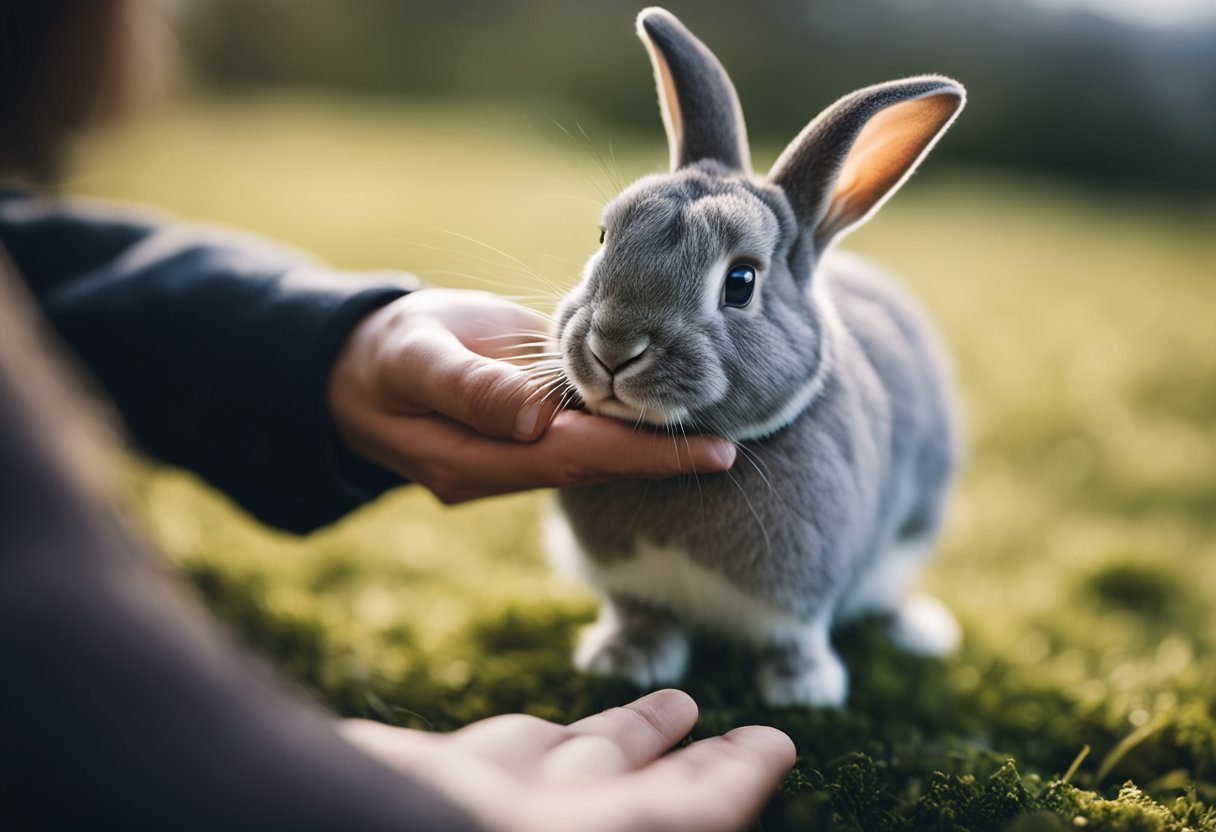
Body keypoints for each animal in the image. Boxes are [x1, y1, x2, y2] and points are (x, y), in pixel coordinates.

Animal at [547, 8, 963, 710]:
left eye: (740, 282)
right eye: (604, 238)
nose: (612, 350)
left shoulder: (802, 602)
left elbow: (798, 637)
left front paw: (803, 692)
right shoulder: (633, 587)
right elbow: (640, 615)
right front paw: (624, 661)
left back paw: (919, 632)